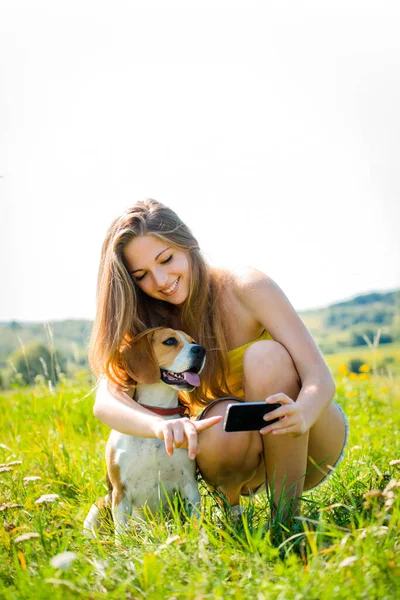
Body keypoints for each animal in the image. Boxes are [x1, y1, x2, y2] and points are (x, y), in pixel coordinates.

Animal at [83, 328, 205, 540]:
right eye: (170, 341)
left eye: (193, 341)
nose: (201, 350)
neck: (157, 412)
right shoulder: (120, 492)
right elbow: (121, 534)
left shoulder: (189, 485)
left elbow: (196, 519)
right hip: (98, 507)